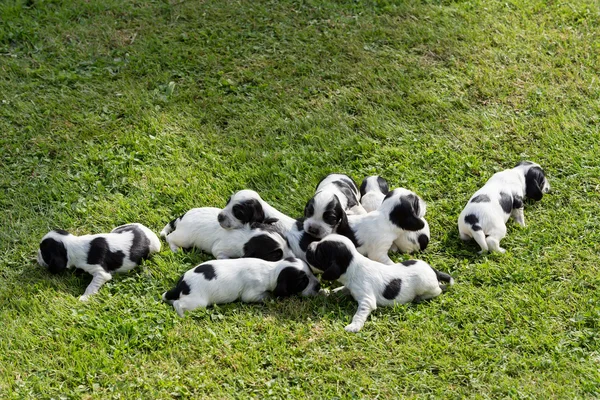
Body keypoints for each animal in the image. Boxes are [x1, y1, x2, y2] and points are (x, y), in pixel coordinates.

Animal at [163, 256, 324, 316]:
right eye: (302, 282)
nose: (318, 286)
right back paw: (182, 315)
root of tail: (181, 285)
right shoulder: (251, 294)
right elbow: (267, 295)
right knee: (178, 304)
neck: (272, 270)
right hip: (197, 302)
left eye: (312, 273)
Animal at [308, 234, 452, 332]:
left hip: (426, 286)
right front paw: (337, 291)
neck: (352, 264)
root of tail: (434, 271)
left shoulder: (367, 300)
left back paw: (420, 297)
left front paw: (353, 327)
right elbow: (345, 289)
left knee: (438, 290)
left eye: (319, 252)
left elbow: (358, 315)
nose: (309, 246)